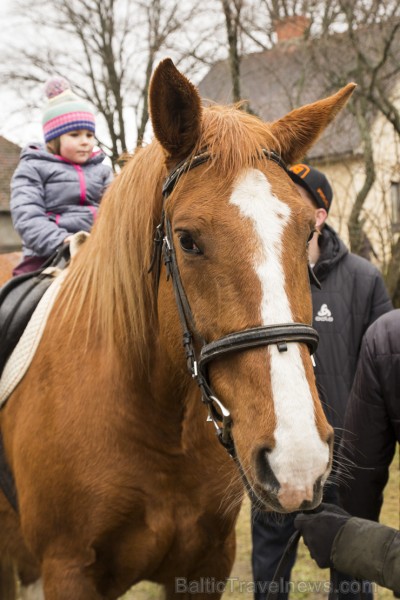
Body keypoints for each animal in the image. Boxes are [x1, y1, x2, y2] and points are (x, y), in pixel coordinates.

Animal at [0, 57, 356, 600]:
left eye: (308, 232)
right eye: (187, 240)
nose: (298, 460)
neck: (158, 424)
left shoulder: (206, 563)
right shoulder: (67, 570)